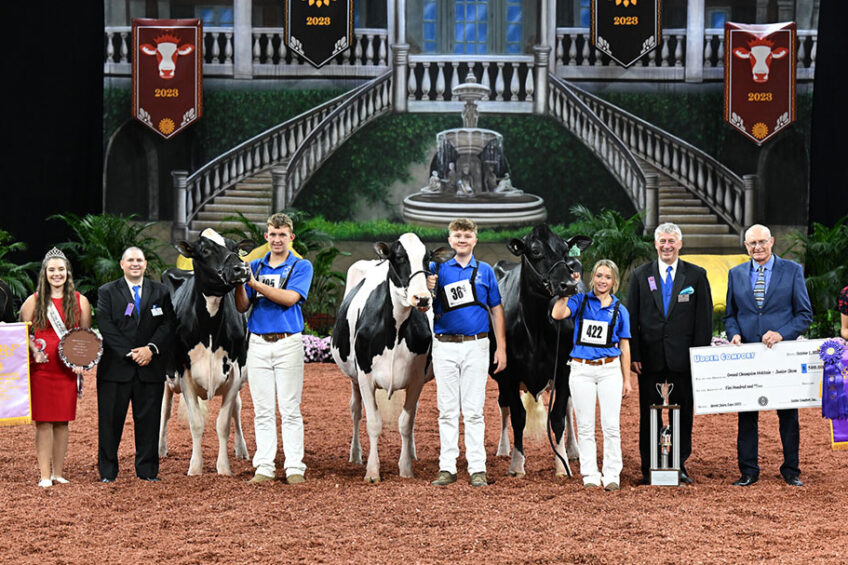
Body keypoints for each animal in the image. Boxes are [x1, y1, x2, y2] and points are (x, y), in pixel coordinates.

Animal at [157, 227, 253, 474]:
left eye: (235, 247)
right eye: (205, 250)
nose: (241, 269)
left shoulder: (235, 371)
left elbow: (223, 423)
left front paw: (224, 468)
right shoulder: (184, 372)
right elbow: (196, 423)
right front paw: (195, 468)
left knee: (238, 409)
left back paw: (241, 449)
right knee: (165, 409)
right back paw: (160, 449)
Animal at [332, 232, 454, 480]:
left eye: (427, 259)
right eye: (398, 257)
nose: (423, 298)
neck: (395, 330)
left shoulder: (416, 380)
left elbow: (406, 422)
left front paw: (406, 468)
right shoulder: (365, 377)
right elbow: (373, 423)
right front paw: (372, 471)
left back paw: (413, 453)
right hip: (353, 378)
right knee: (355, 410)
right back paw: (355, 455)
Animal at [490, 224, 588, 476]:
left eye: (565, 250)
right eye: (534, 251)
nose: (569, 285)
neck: (535, 327)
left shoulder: (564, 369)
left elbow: (558, 417)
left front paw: (562, 465)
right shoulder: (509, 372)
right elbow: (517, 416)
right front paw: (516, 465)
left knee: (569, 407)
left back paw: (573, 450)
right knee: (503, 404)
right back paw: (503, 449)